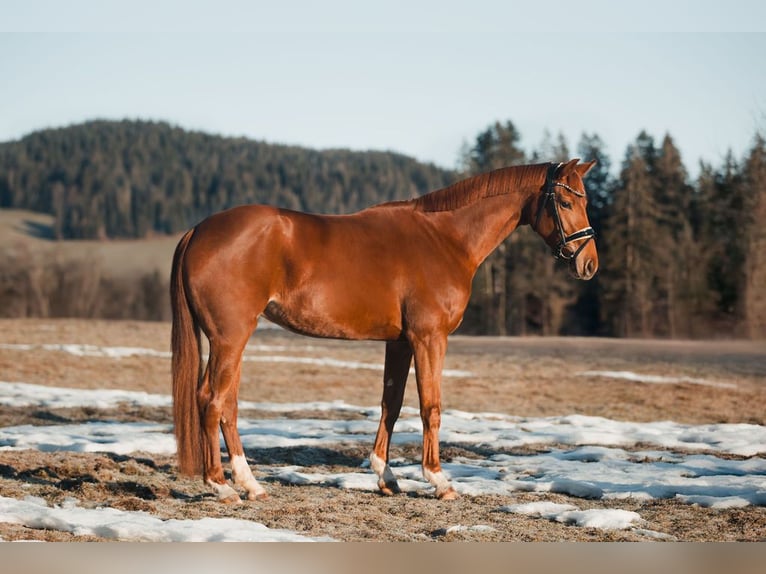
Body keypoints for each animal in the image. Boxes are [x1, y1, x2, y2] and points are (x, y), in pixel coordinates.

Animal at [172, 159, 600, 504]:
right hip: (230, 338)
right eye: (565, 203)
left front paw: (386, 476)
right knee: (211, 399)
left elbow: (390, 405)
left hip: (235, 341)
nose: (589, 264)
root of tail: (198, 230)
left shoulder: (399, 343)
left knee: (228, 405)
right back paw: (221, 486)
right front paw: (439, 481)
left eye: (584, 203)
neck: (444, 238)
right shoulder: (429, 339)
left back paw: (250, 484)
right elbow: (430, 407)